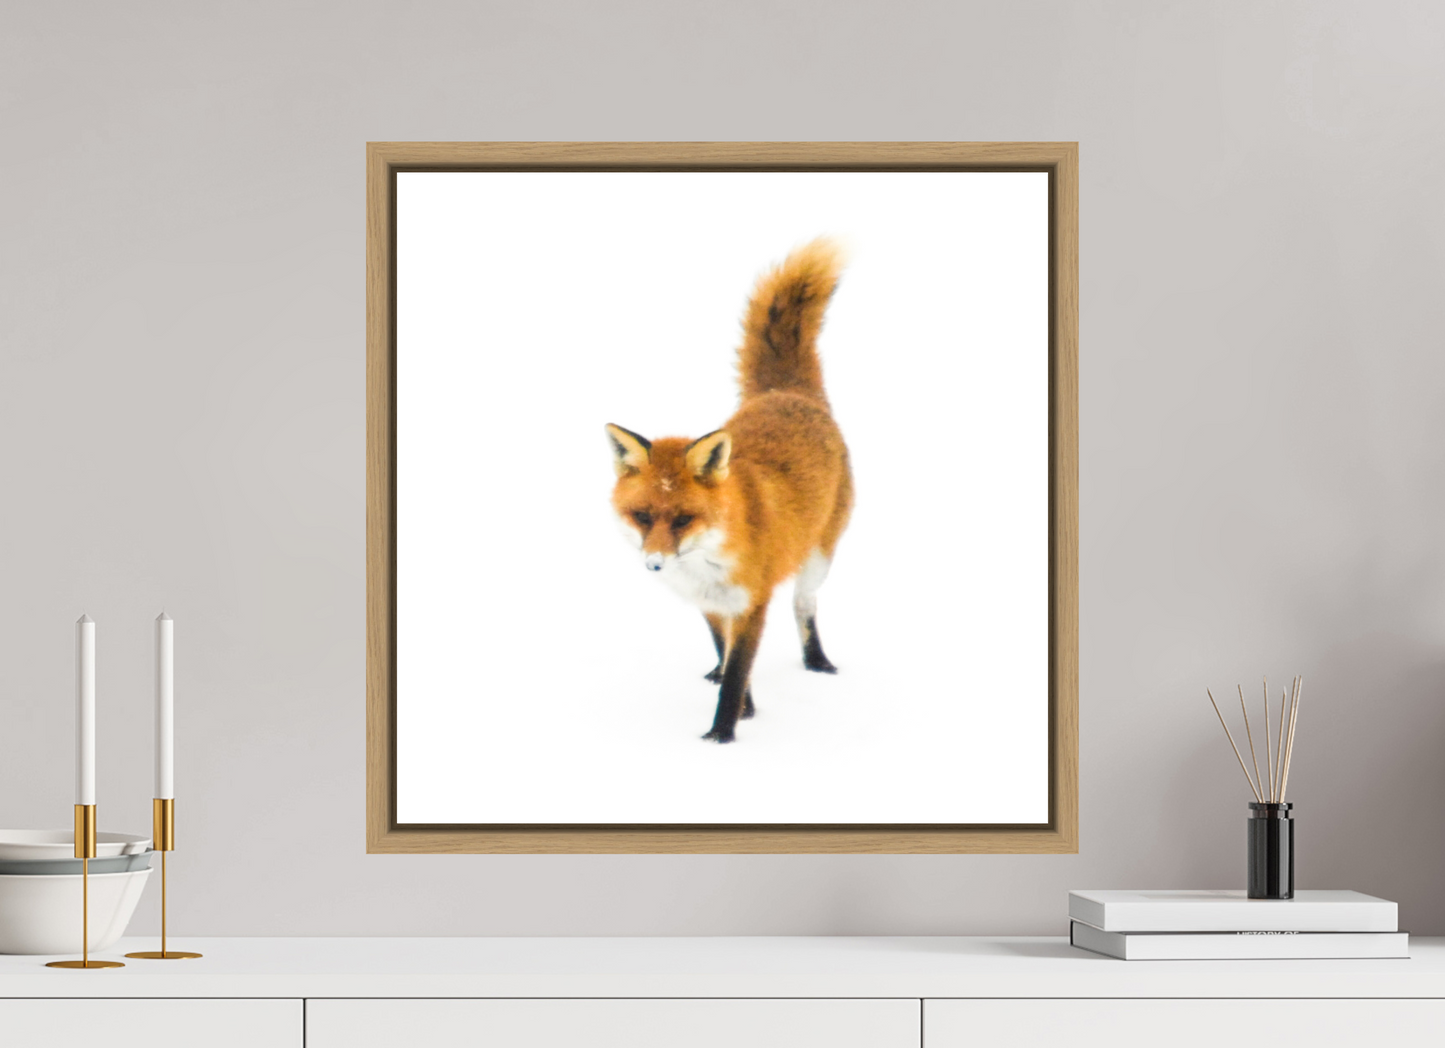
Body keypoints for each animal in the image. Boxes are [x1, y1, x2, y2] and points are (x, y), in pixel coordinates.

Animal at [605, 238, 853, 743]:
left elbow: (739, 669)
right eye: (643, 516)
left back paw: (817, 661)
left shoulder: (751, 603)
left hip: (818, 558)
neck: (706, 559)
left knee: (804, 604)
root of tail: (785, 393)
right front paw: (745, 710)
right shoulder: (711, 605)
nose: (654, 564)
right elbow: (728, 657)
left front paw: (722, 737)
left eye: (683, 518)